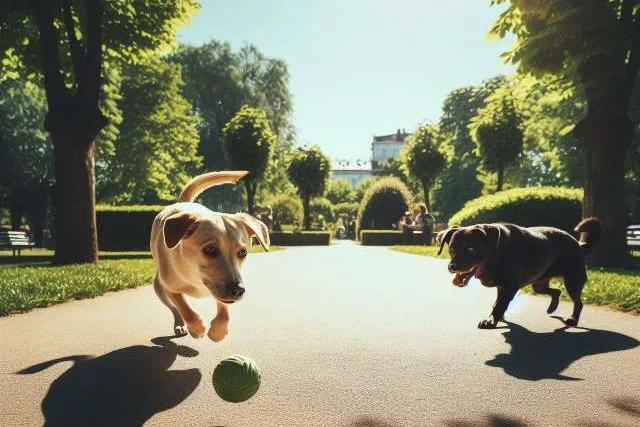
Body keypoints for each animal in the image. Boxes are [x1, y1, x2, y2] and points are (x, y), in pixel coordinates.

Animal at [150, 172, 268, 342]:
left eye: (243, 252)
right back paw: (180, 324)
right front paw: (197, 328)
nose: (238, 290)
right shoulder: (171, 287)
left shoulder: (223, 293)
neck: (195, 276)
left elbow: (224, 311)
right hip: (159, 288)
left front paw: (218, 331)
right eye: (210, 250)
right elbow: (184, 308)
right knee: (174, 308)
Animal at [436, 219, 600, 330]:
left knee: (578, 302)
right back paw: (552, 308)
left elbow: (500, 304)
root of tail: (579, 244)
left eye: (470, 248)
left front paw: (491, 320)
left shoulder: (510, 286)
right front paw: (497, 317)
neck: (498, 253)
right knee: (556, 291)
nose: (452, 267)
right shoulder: (501, 287)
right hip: (538, 284)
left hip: (572, 281)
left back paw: (573, 319)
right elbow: (497, 302)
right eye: (451, 249)